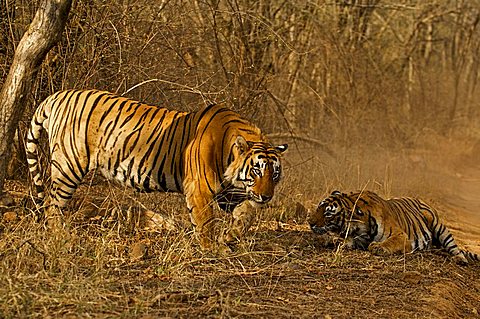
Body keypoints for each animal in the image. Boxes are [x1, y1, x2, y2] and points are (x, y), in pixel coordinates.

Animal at [26, 90, 286, 250]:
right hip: (68, 165)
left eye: (274, 174)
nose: (267, 196)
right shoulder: (200, 190)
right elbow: (205, 222)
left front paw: (231, 236)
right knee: (51, 202)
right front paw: (212, 248)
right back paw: (61, 236)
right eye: (256, 170)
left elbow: (246, 214)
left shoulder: (230, 194)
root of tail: (57, 96)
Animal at [310, 191, 478, 264]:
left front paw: (378, 247)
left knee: (453, 246)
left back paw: (460, 259)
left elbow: (389, 242)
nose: (310, 222)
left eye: (328, 214)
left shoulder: (401, 236)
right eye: (318, 207)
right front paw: (334, 240)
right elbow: (348, 241)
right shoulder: (360, 238)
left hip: (439, 226)